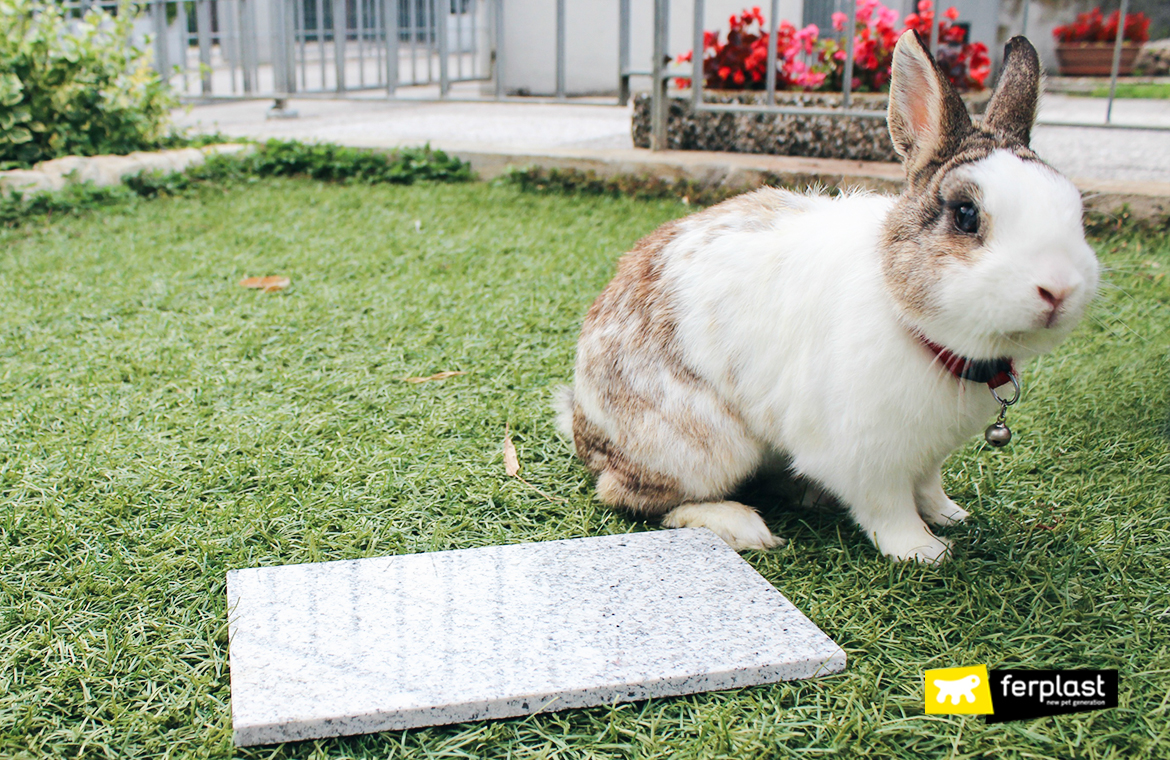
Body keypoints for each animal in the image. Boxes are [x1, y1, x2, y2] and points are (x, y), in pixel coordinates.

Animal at [552, 31, 1099, 561]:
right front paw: (924, 551)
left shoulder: (928, 455)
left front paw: (951, 516)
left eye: (1075, 209)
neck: (911, 321)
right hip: (704, 448)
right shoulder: (867, 456)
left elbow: (928, 486)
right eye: (966, 215)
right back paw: (742, 525)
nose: (1059, 289)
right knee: (630, 495)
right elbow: (888, 508)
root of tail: (583, 427)